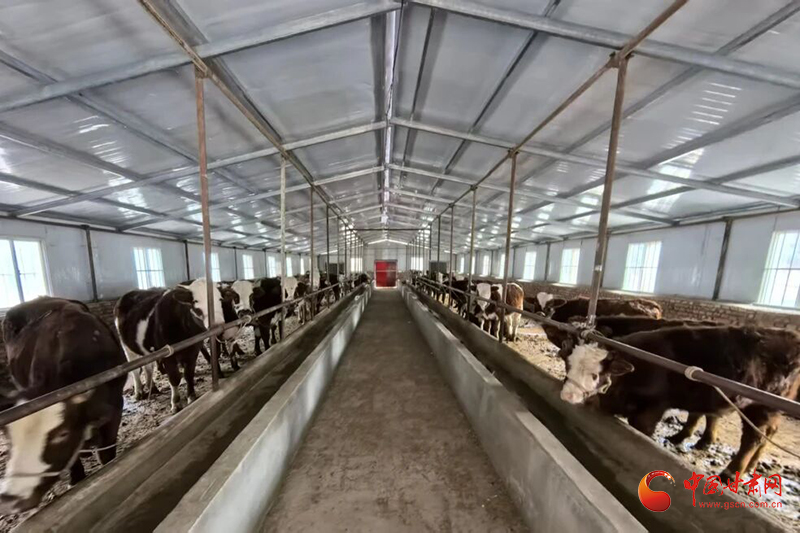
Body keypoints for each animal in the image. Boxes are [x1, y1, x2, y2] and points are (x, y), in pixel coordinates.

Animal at [0, 297, 125, 514]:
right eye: (9, 437)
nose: (10, 499)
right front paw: (76, 479)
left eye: (62, 434)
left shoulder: (115, 410)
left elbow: (107, 453)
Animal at [116, 278, 221, 413]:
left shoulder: (193, 350)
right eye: (195, 301)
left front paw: (191, 397)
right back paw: (138, 392)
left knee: (148, 367)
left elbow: (189, 374)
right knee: (135, 370)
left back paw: (152, 387)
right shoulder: (168, 354)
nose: (219, 323)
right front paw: (175, 403)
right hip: (127, 347)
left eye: (220, 298)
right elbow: (174, 378)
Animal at [559, 325, 800, 483]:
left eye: (595, 374)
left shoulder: (651, 409)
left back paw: (731, 473)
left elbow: (642, 430)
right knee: (766, 433)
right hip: (770, 408)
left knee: (753, 436)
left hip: (763, 405)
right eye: (568, 364)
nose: (567, 396)